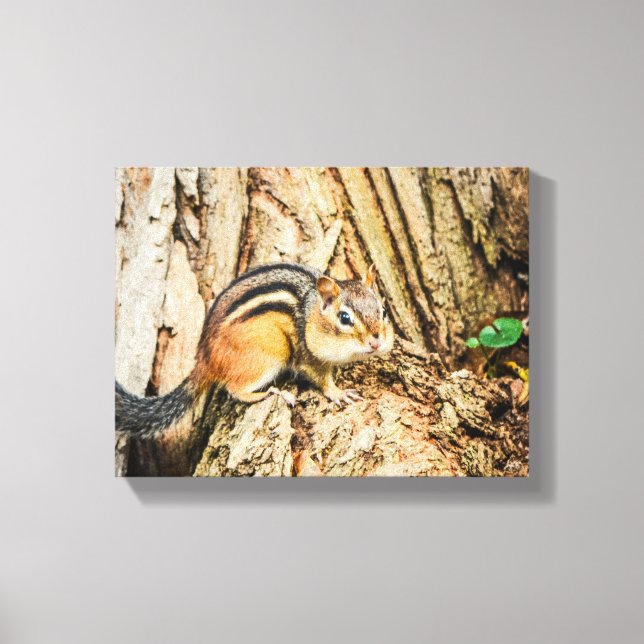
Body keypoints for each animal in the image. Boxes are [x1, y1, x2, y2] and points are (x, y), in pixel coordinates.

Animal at [115, 262, 393, 433]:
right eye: (344, 318)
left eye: (383, 311)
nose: (376, 341)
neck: (309, 313)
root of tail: (204, 356)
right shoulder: (306, 356)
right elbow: (320, 378)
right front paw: (338, 392)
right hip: (269, 354)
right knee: (234, 389)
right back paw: (270, 393)